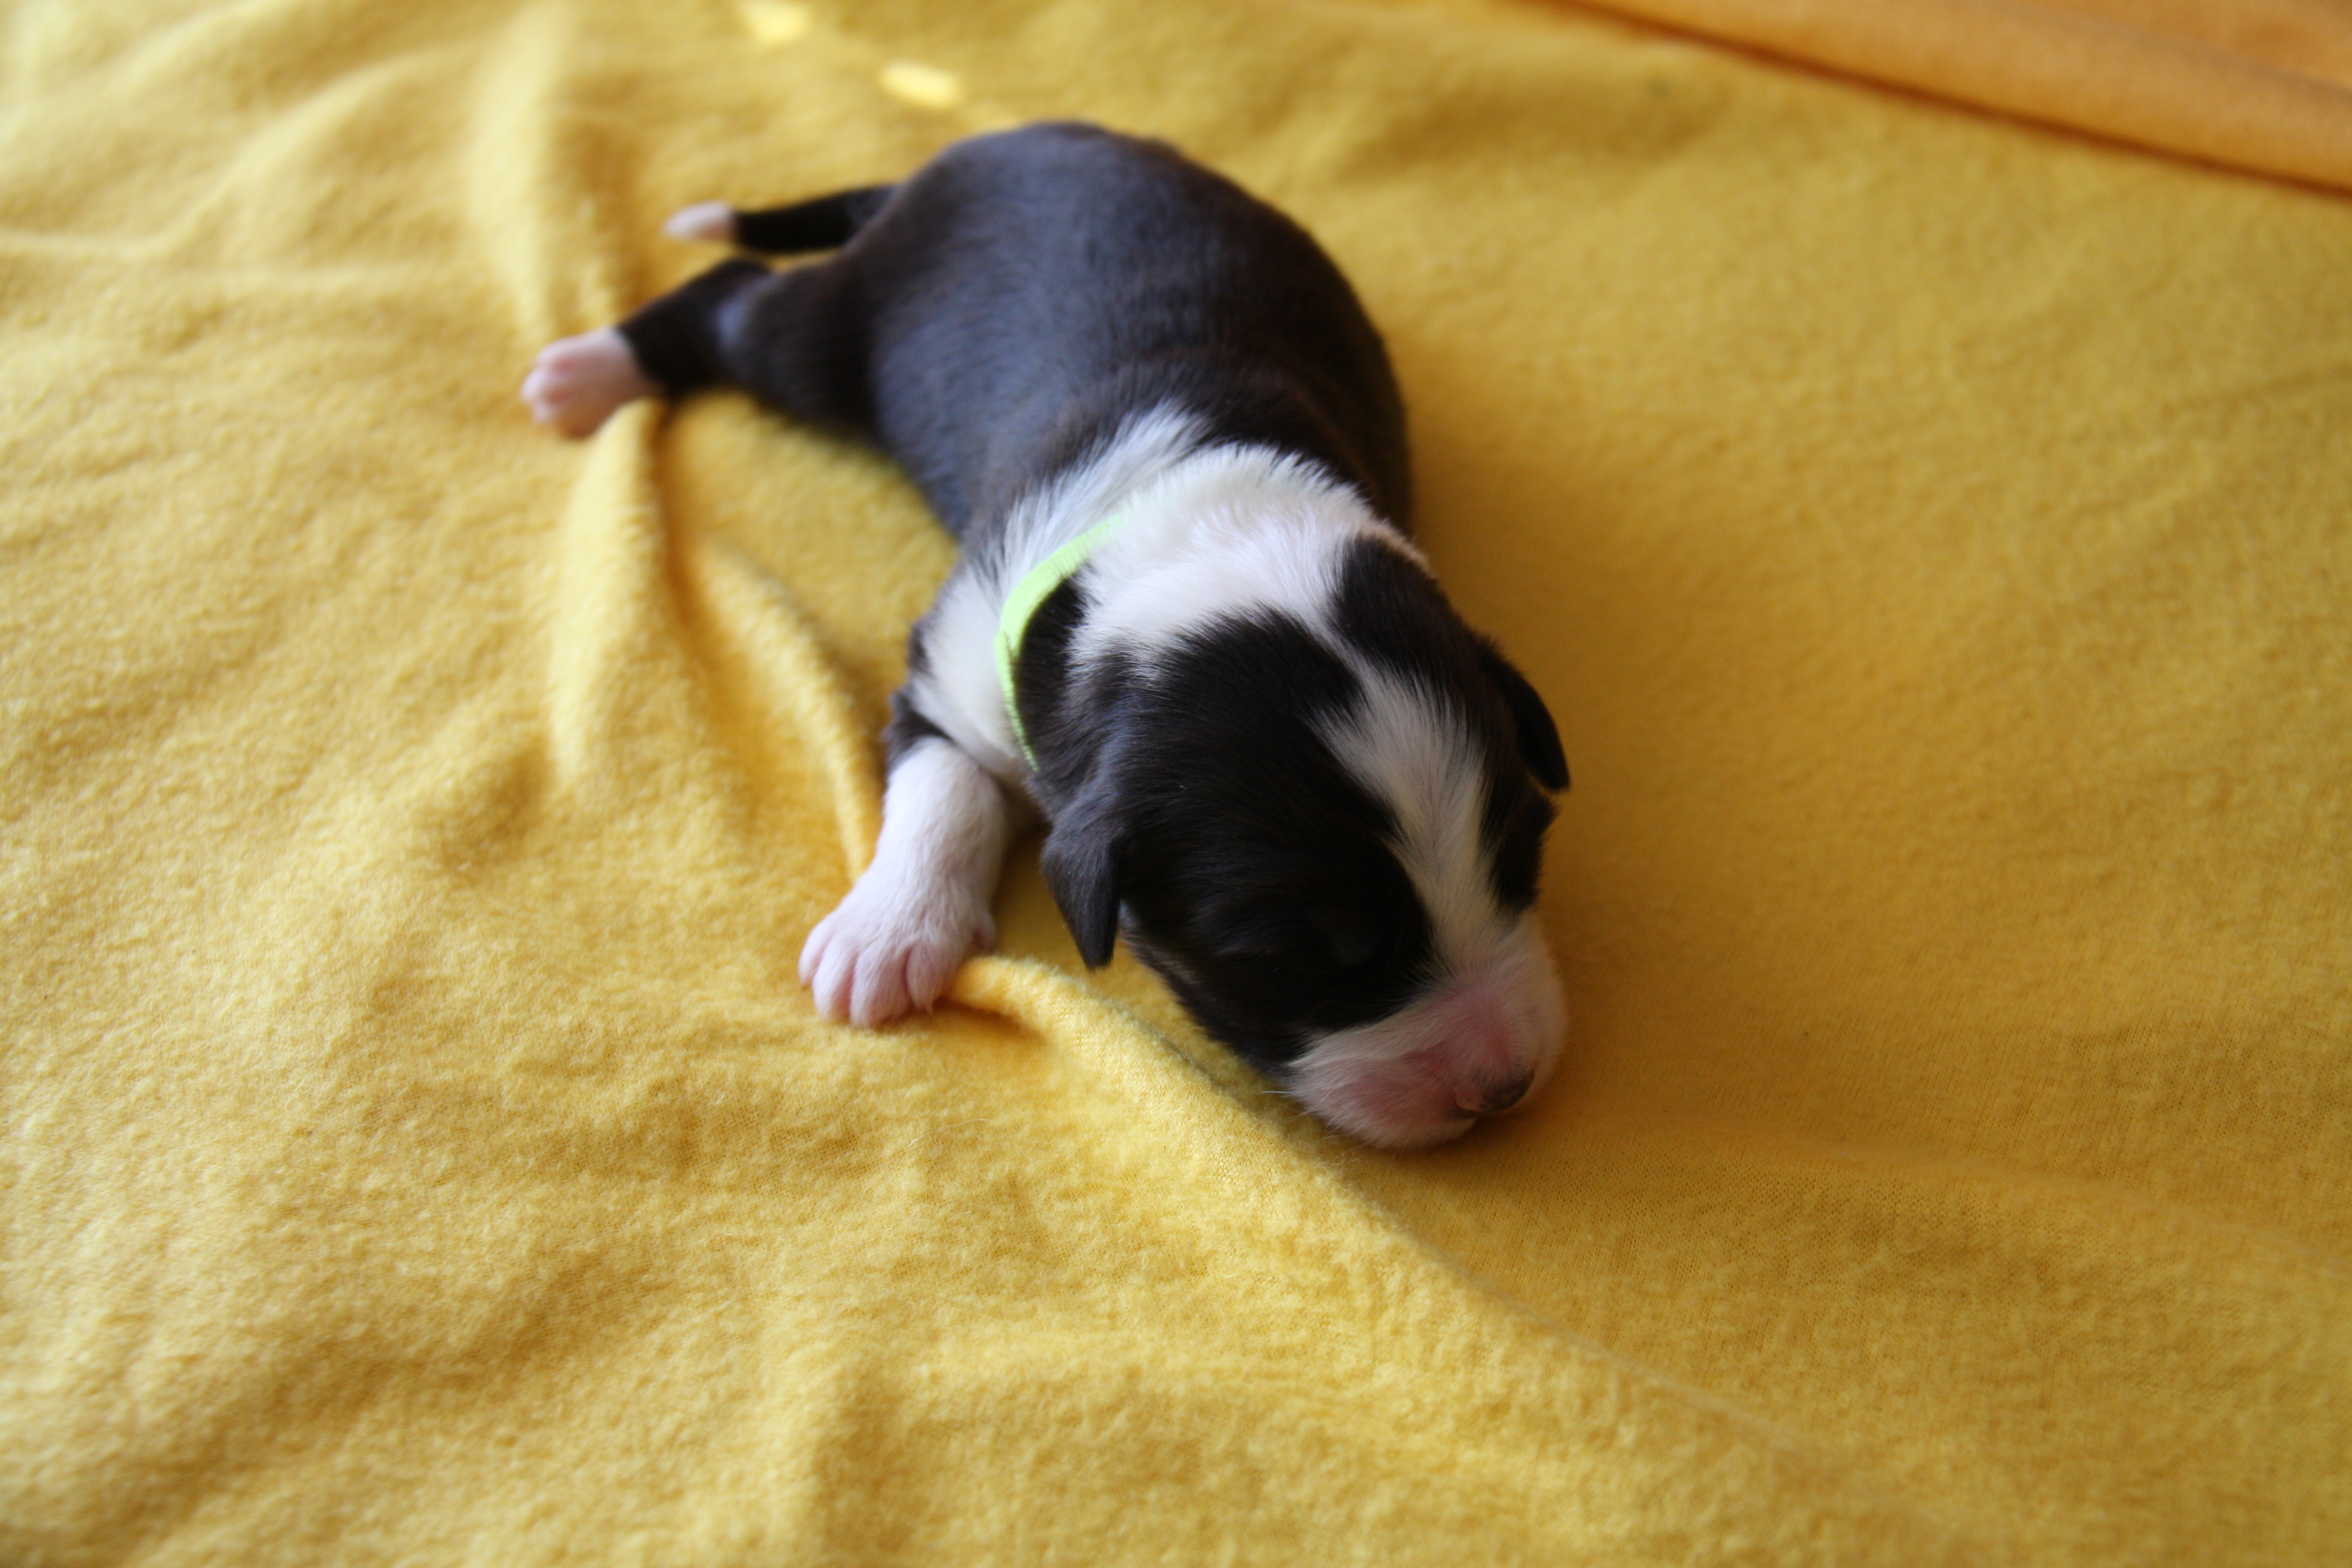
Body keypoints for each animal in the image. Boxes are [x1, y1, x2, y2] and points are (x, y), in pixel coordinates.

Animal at [523, 122, 1568, 1147]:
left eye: (1523, 854)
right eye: (1295, 955)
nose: (1501, 1087)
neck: (1209, 524)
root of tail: (982, 142)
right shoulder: (949, 672)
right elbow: (943, 789)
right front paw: (885, 935)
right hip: (834, 336)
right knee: (738, 297)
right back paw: (587, 371)